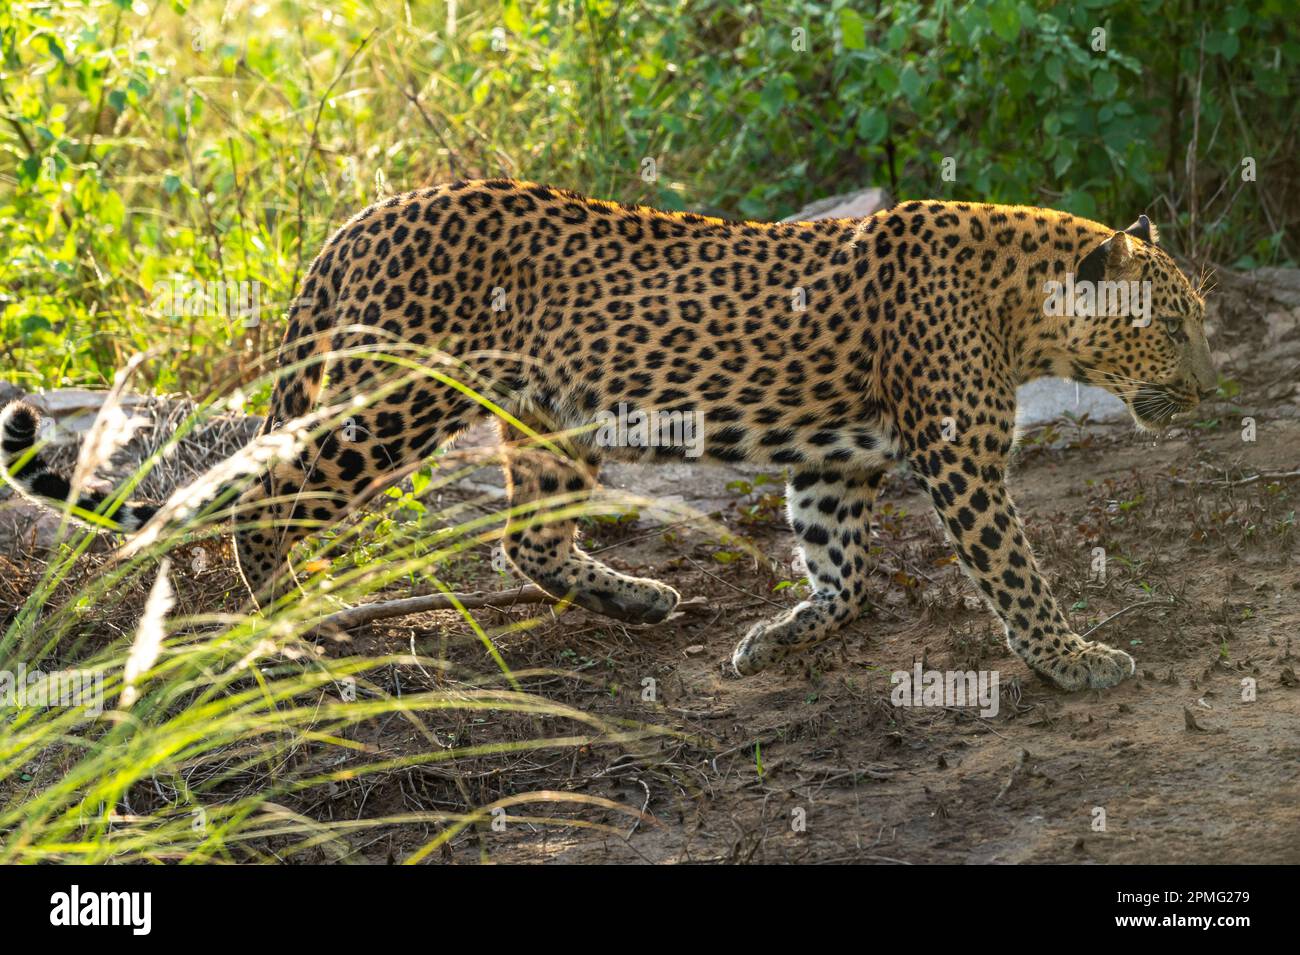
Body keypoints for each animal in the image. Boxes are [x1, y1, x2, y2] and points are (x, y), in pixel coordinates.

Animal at [5, 178, 1211, 686]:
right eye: (1173, 327)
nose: (1210, 387)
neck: (1024, 303)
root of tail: (356, 221)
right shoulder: (958, 454)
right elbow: (1013, 569)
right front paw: (1073, 658)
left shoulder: (838, 460)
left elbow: (845, 571)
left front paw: (783, 636)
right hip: (390, 401)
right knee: (269, 499)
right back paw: (285, 633)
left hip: (543, 411)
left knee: (526, 539)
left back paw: (632, 598)